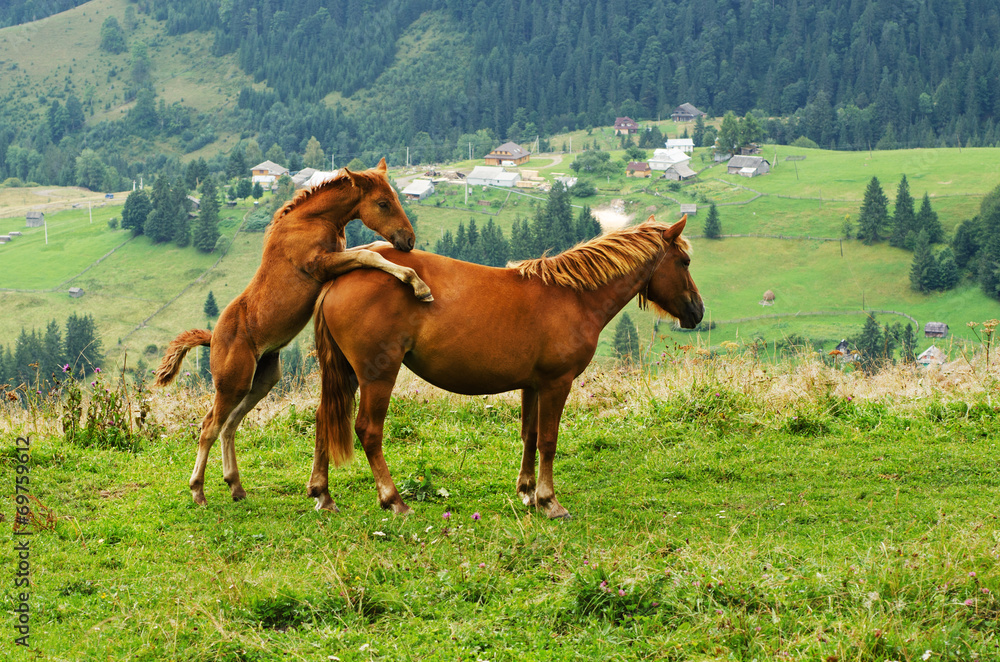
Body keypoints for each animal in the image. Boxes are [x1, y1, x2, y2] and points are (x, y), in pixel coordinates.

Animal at [152, 158, 430, 506]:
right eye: (382, 203)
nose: (409, 240)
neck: (312, 220)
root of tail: (213, 338)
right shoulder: (321, 265)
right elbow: (369, 254)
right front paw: (418, 284)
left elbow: (368, 251)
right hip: (232, 383)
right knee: (209, 426)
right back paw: (198, 490)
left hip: (261, 381)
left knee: (229, 425)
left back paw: (235, 486)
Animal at [310, 217, 704, 520]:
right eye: (684, 261)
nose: (697, 312)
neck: (573, 298)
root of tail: (341, 275)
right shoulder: (557, 384)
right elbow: (548, 440)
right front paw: (549, 501)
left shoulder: (533, 385)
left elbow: (529, 435)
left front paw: (527, 491)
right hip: (378, 375)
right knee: (368, 430)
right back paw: (394, 501)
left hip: (347, 373)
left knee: (324, 418)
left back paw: (323, 494)